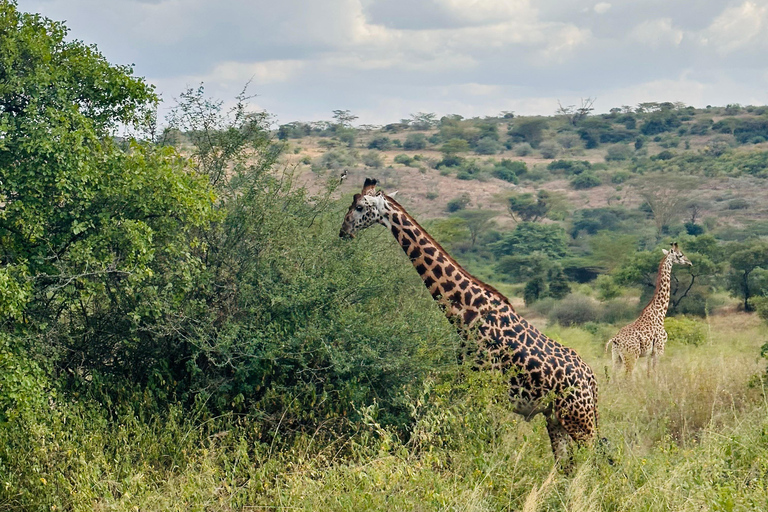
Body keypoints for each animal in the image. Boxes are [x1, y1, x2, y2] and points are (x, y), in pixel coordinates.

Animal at [342, 179, 600, 464]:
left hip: (580, 420)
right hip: (556, 418)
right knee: (568, 466)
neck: (467, 314)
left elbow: (483, 438)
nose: (343, 231)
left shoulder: (485, 385)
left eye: (359, 207)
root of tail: (592, 381)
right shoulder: (468, 380)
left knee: (595, 463)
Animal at [604, 244, 692, 376]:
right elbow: (655, 371)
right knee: (627, 376)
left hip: (616, 357)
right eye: (680, 255)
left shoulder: (650, 352)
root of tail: (615, 339)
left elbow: (649, 373)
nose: (689, 262)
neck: (660, 313)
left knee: (613, 377)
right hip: (631, 356)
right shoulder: (660, 348)